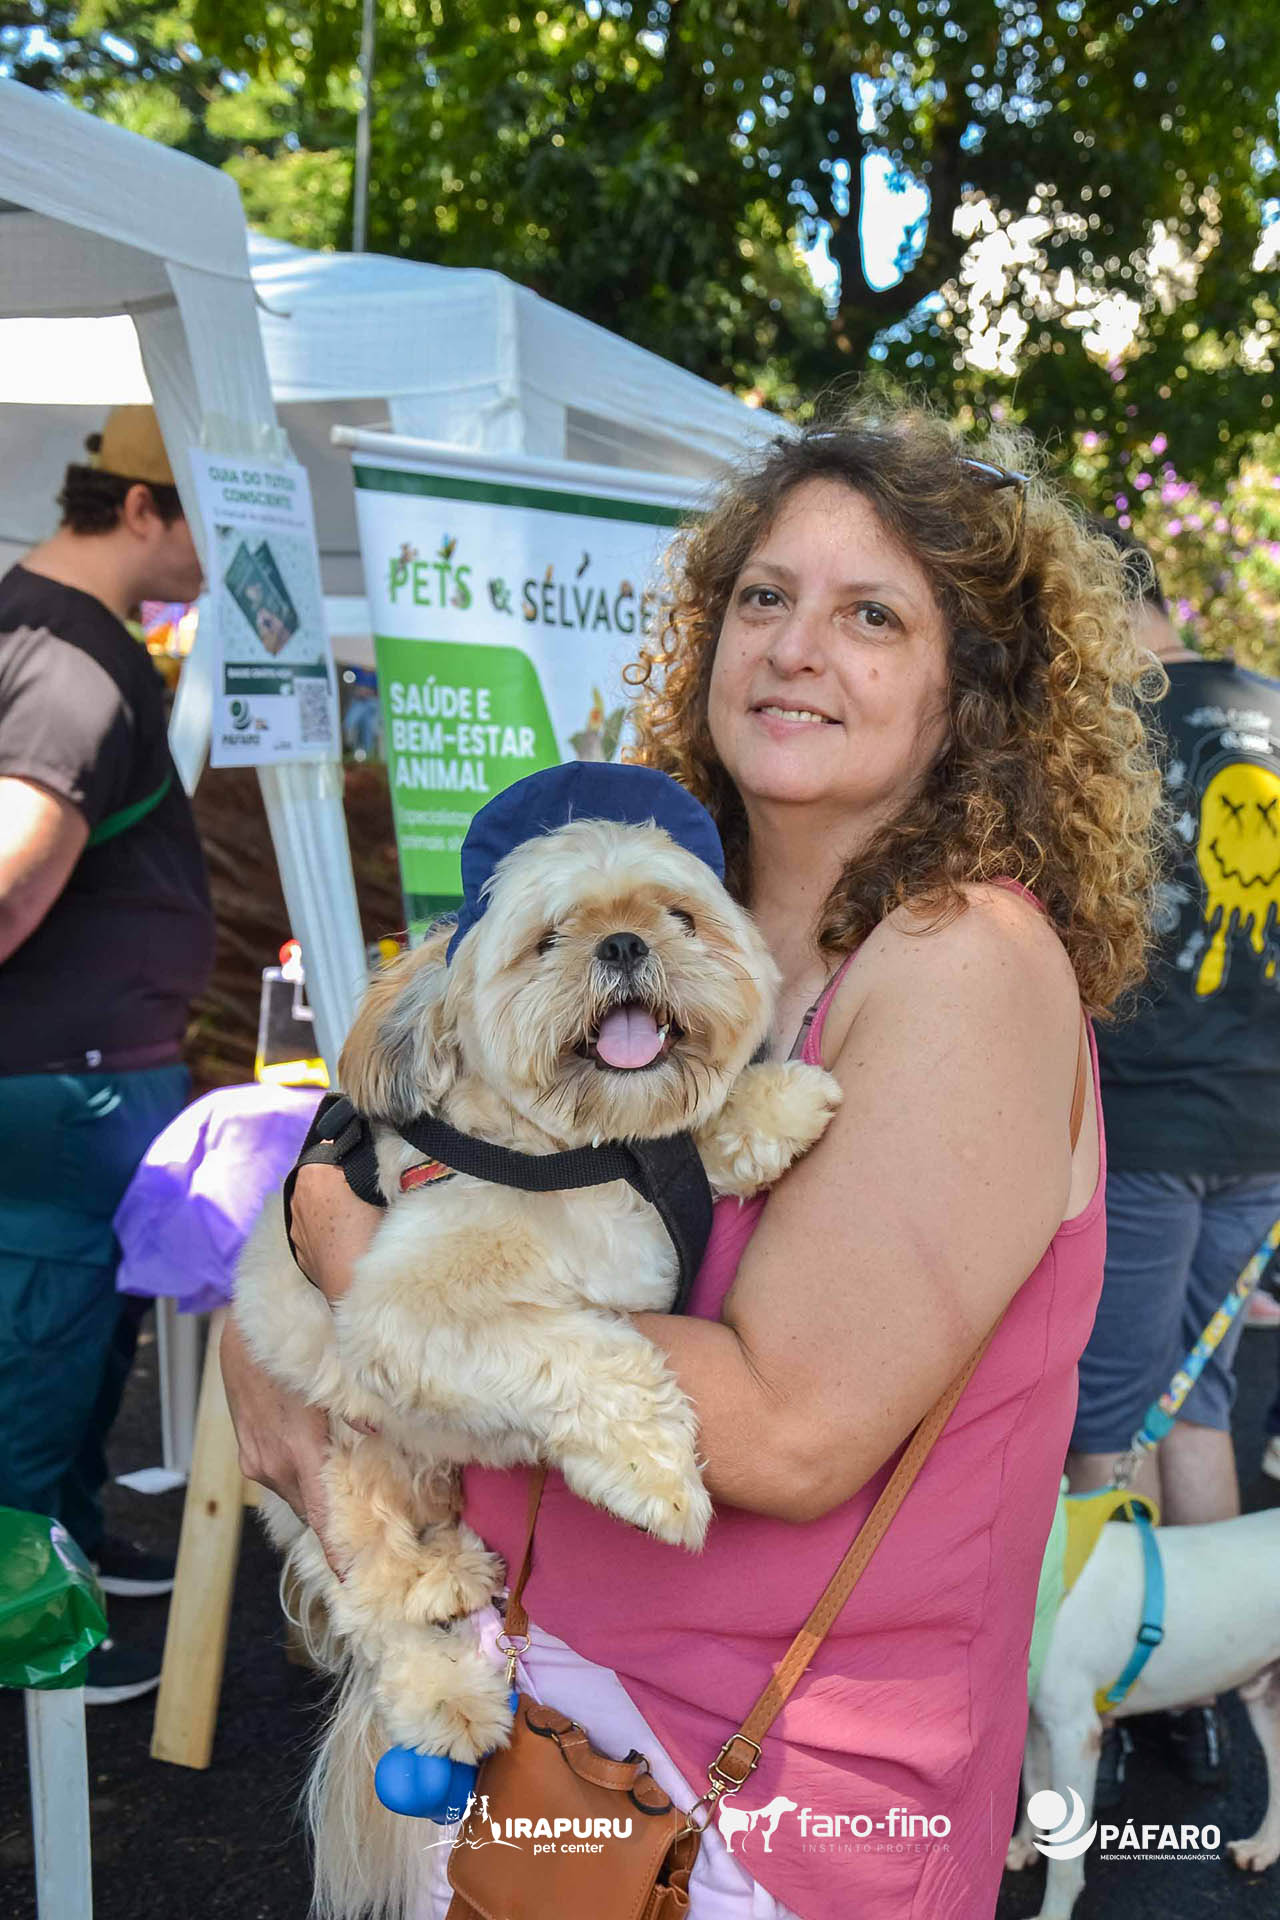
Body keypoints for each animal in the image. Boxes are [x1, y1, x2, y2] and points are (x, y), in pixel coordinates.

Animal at [234, 806, 841, 1919]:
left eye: (679, 915)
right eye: (549, 938)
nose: (624, 945)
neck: (577, 1158)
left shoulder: (652, 1172)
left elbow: (693, 1135)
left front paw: (773, 1103)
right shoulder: (408, 1311)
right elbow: (589, 1351)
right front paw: (657, 1477)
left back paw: (454, 1562)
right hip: (334, 1462)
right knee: (373, 1600)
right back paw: (442, 1669)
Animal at [1005, 1508, 1280, 1917]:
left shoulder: (1074, 1734)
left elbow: (1065, 1857)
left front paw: (1052, 1913)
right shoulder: (1037, 1719)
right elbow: (1034, 1788)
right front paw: (1025, 1845)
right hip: (1265, 1698)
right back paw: (1264, 1846)